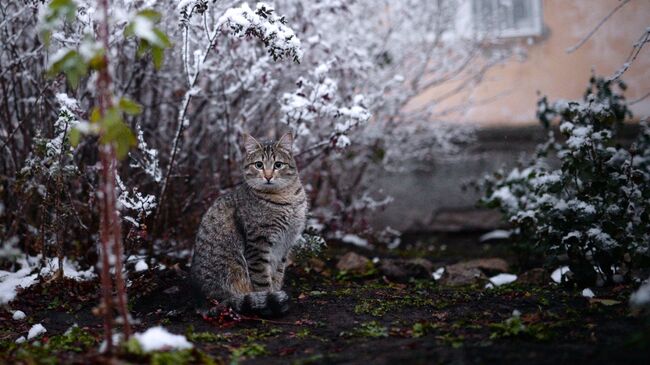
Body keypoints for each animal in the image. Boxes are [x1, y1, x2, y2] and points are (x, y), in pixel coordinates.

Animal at [189, 132, 308, 316]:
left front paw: (276, 293)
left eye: (278, 165)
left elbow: (278, 275)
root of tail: (202, 300)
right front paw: (269, 300)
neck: (285, 197)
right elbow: (262, 281)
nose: (268, 176)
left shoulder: (284, 246)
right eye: (259, 165)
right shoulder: (258, 244)